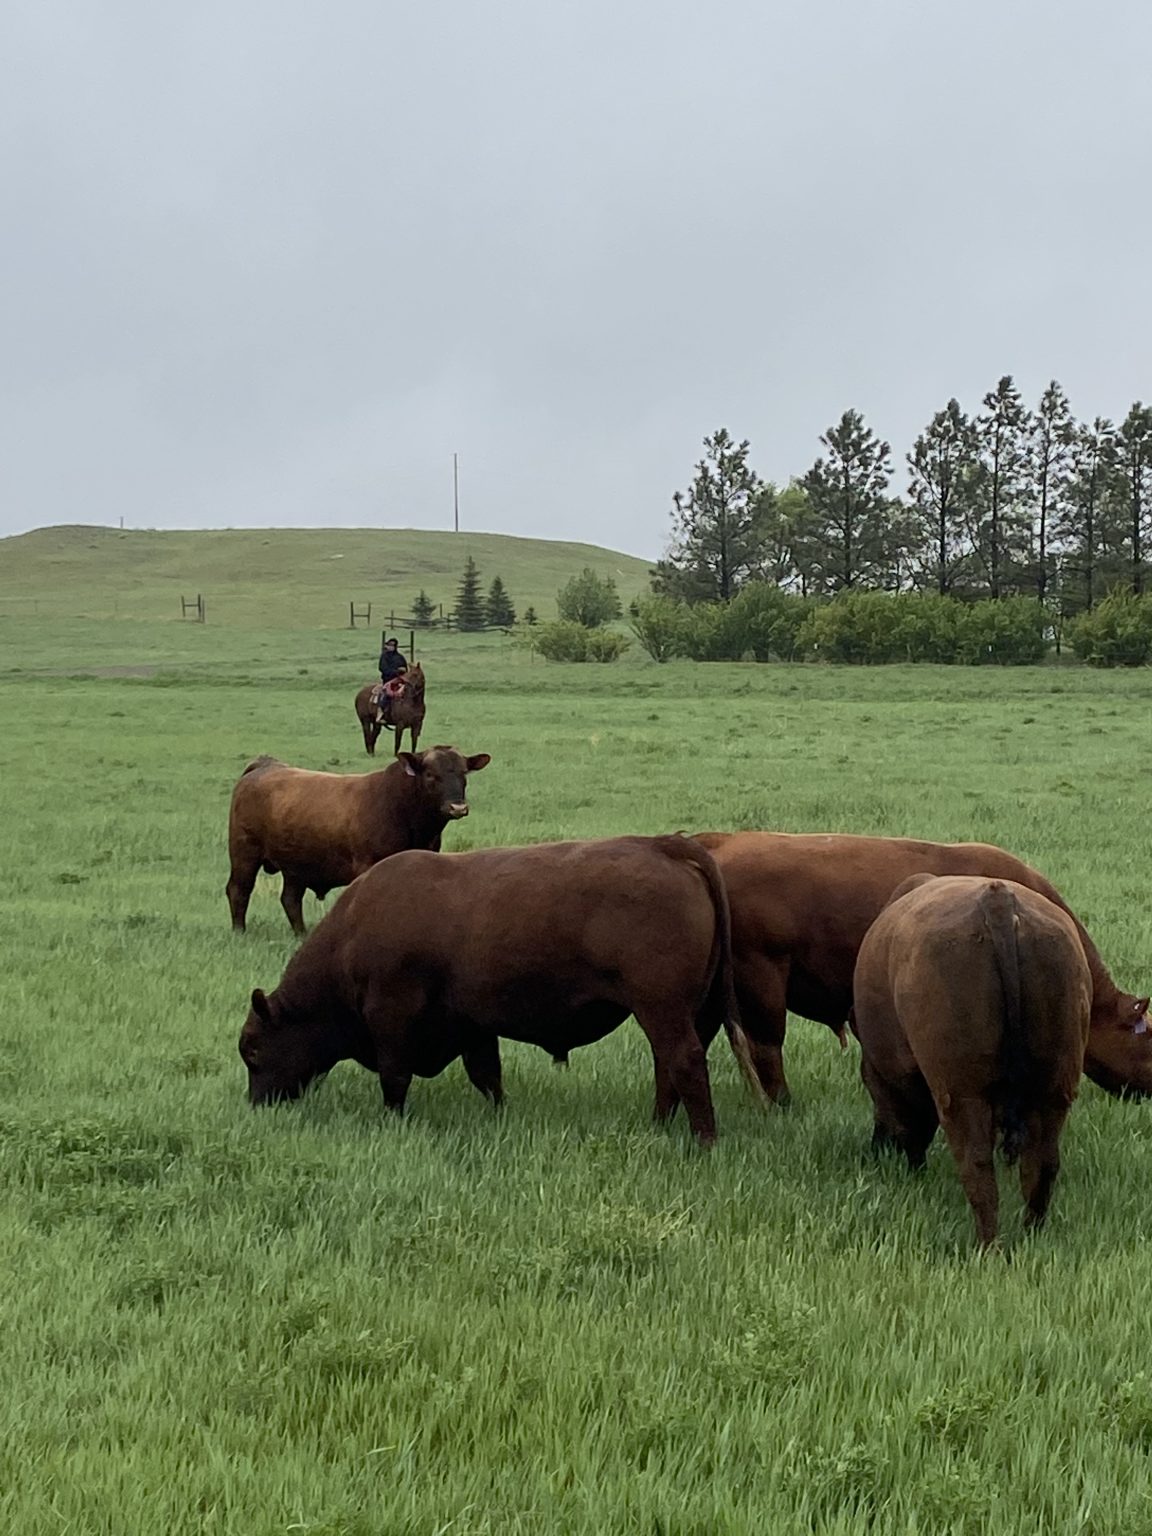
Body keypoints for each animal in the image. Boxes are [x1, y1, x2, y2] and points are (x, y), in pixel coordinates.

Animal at [226, 745, 491, 935]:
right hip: (244, 854)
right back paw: (240, 932)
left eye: (464, 773)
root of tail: (264, 766)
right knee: (239, 890)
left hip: (296, 865)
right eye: (430, 774)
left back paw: (301, 934)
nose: (458, 807)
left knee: (290, 899)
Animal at [238, 834, 759, 1144]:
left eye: (254, 1051)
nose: (257, 1104)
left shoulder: (392, 1019)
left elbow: (395, 1077)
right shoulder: (472, 1025)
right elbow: (487, 1075)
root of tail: (664, 846)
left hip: (661, 1009)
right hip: (686, 1012)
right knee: (668, 1065)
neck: (352, 931)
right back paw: (657, 1128)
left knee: (683, 1062)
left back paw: (703, 1142)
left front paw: (393, 1121)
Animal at [852, 874, 1092, 1248]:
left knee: (977, 1166)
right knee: (1043, 1164)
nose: (877, 1147)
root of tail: (997, 899)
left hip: (963, 1093)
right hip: (1055, 1088)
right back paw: (1031, 1235)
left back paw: (986, 1245)